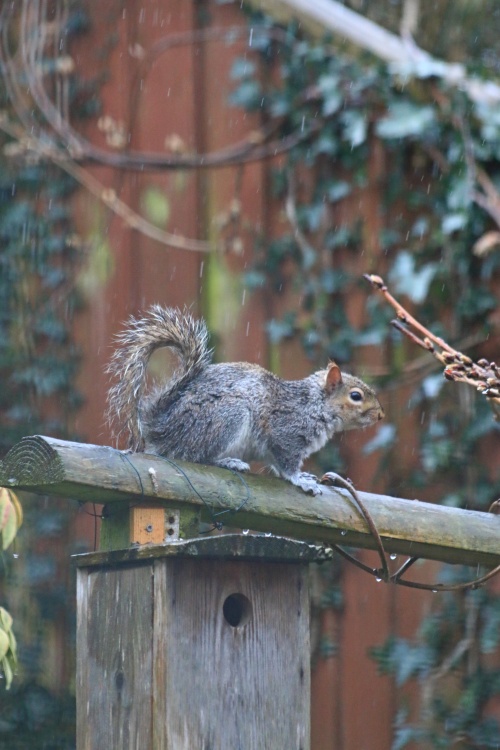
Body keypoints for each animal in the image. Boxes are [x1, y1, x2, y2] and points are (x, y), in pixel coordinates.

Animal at [106, 305, 384, 495]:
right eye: (356, 396)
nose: (381, 415)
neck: (313, 404)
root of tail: (162, 427)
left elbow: (275, 464)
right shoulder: (285, 432)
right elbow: (286, 464)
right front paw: (300, 480)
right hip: (227, 416)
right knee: (194, 456)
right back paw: (228, 461)